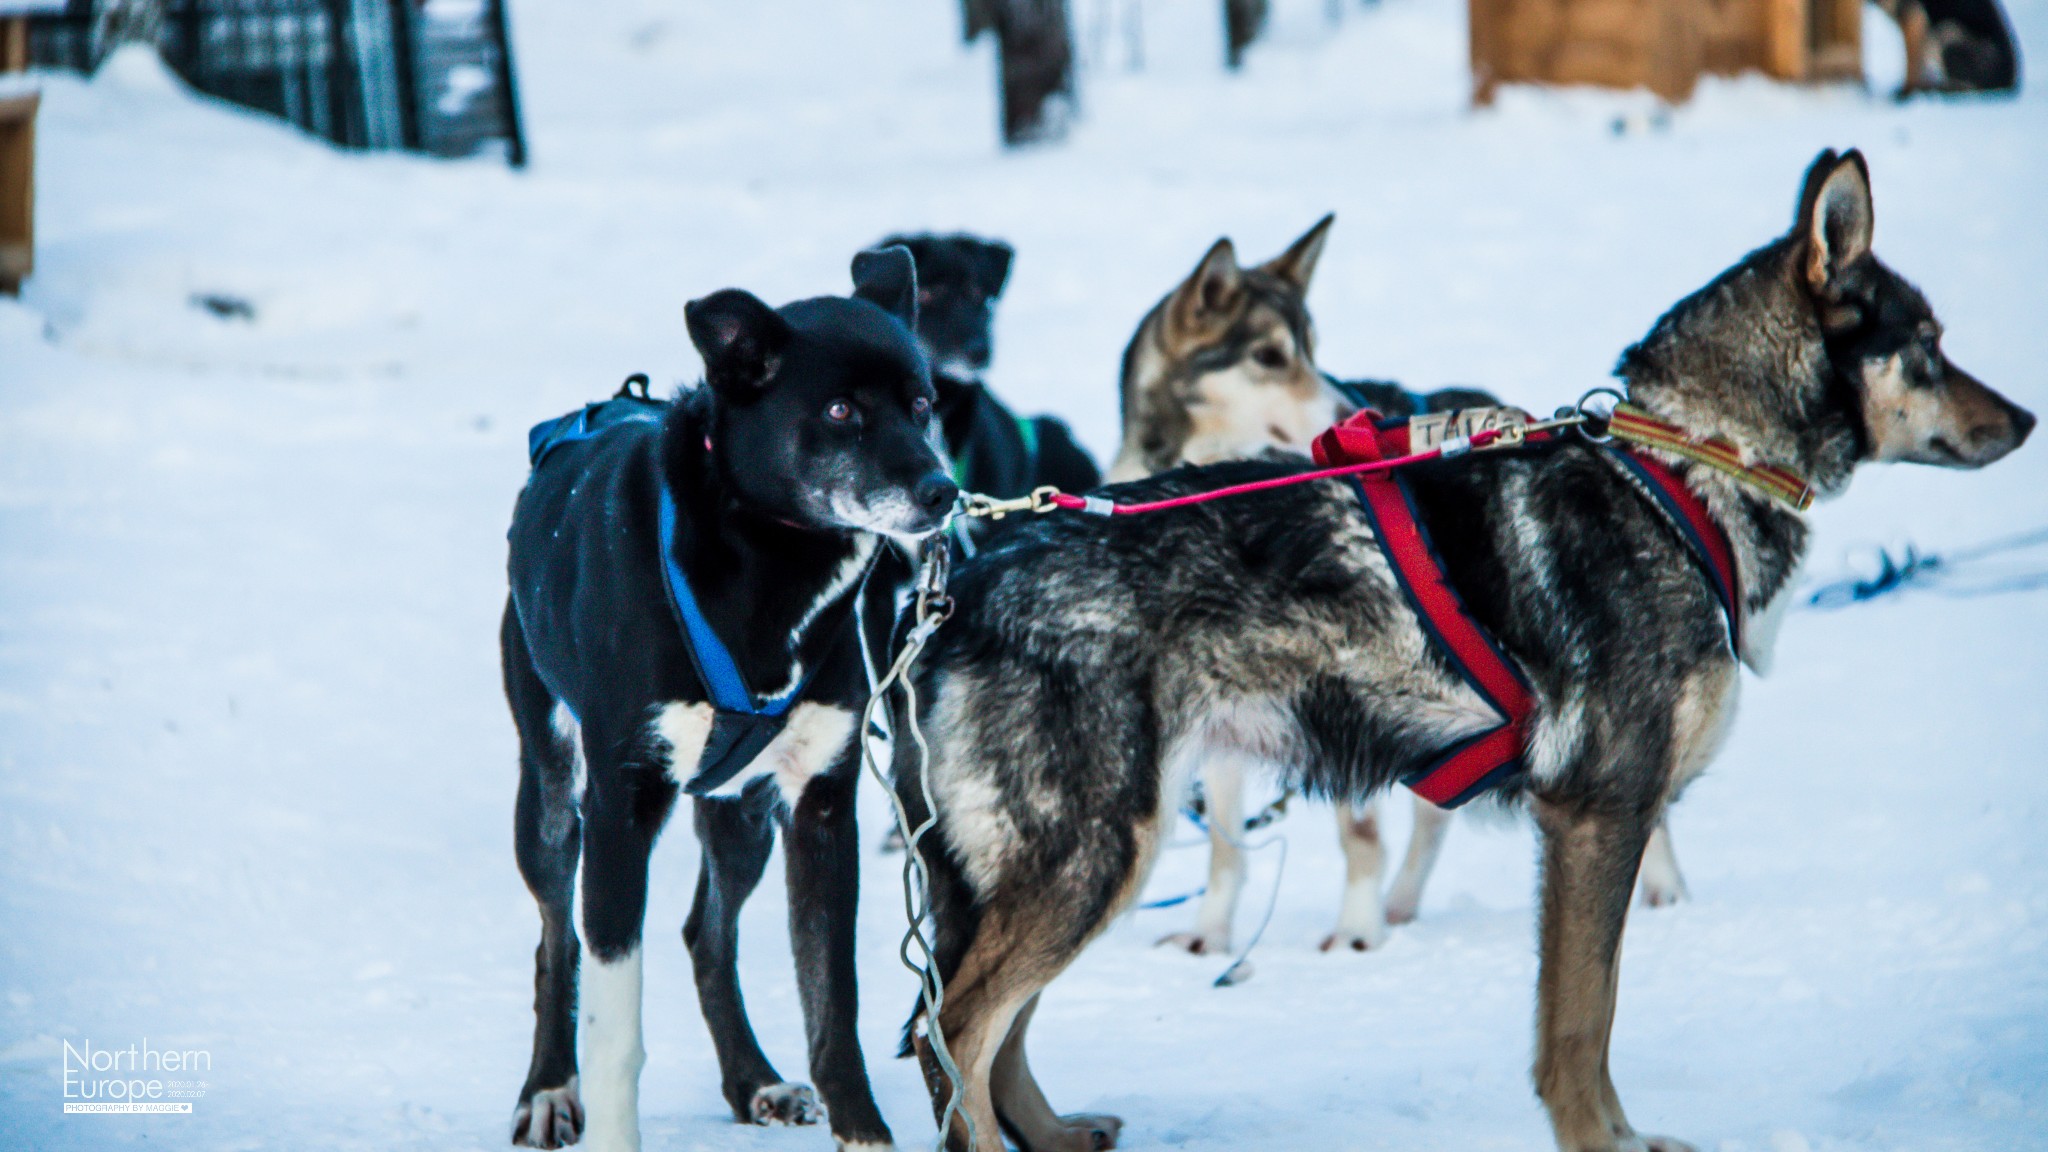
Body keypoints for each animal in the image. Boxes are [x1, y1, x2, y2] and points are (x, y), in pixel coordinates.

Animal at [499, 243, 954, 1147]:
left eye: (921, 404)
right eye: (842, 409)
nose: (942, 492)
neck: (772, 562)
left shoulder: (822, 806)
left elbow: (834, 1002)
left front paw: (863, 1132)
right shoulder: (620, 809)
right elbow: (612, 1018)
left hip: (743, 814)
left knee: (706, 935)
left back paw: (753, 1080)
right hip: (552, 796)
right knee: (555, 941)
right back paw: (548, 1089)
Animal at [897, 152, 2031, 1147]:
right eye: (1929, 342)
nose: (2022, 419)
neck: (1687, 467)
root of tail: (966, 585)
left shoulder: (1599, 817)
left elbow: (1584, 1019)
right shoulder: (1595, 814)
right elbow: (1578, 1030)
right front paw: (1603, 1144)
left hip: (1075, 863)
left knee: (992, 1039)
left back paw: (1054, 1134)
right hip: (1094, 853)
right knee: (953, 1029)